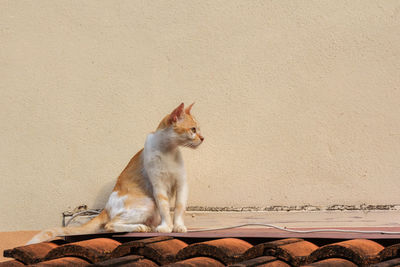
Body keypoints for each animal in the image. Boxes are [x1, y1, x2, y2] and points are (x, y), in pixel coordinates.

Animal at [27, 102, 203, 245]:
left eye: (199, 130)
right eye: (193, 130)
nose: (203, 138)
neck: (169, 151)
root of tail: (105, 207)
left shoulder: (181, 183)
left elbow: (179, 207)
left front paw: (178, 226)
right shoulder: (158, 185)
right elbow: (165, 207)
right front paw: (167, 227)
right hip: (148, 203)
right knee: (109, 225)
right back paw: (141, 227)